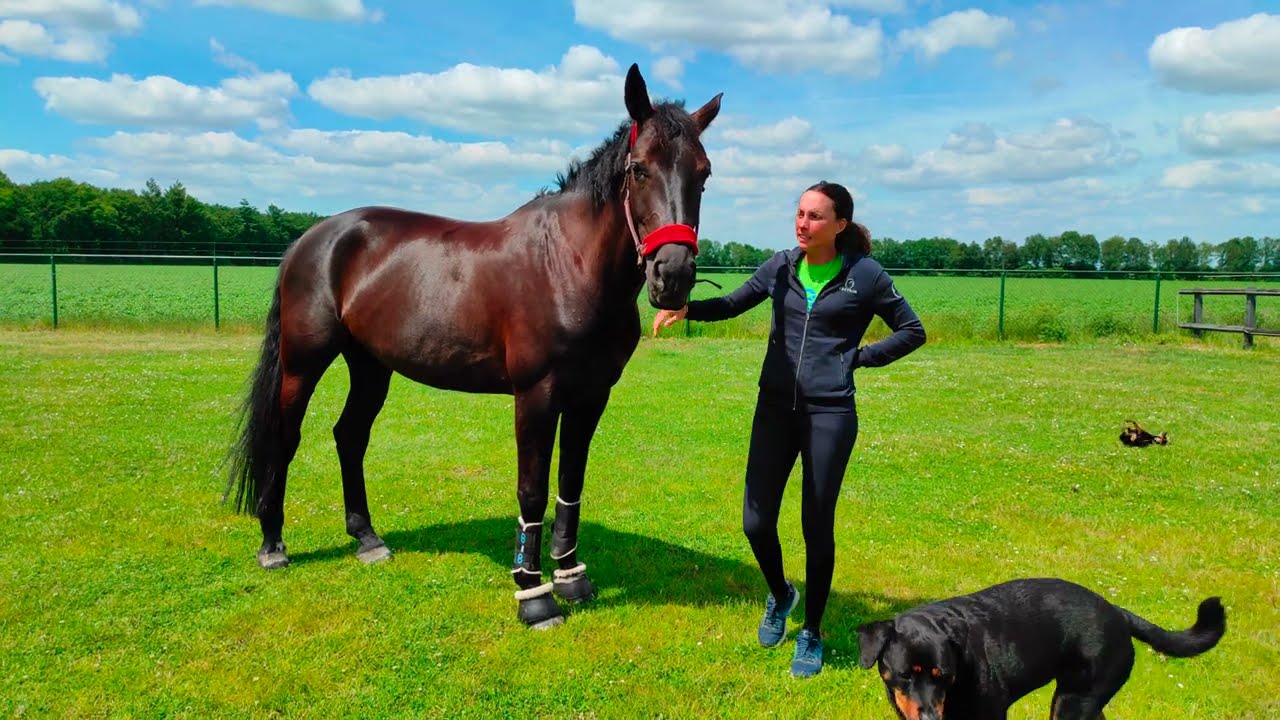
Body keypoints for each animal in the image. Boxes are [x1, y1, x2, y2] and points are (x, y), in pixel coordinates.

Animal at [226, 64, 722, 628]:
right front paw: (534, 595)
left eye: (704, 173)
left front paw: (572, 578)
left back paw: (367, 539)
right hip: (302, 364)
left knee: (349, 436)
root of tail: (308, 241)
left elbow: (570, 481)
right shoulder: (536, 395)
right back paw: (273, 545)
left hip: (370, 365)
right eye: (639, 169)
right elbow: (532, 489)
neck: (566, 263)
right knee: (284, 438)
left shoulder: (592, 395)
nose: (673, 276)